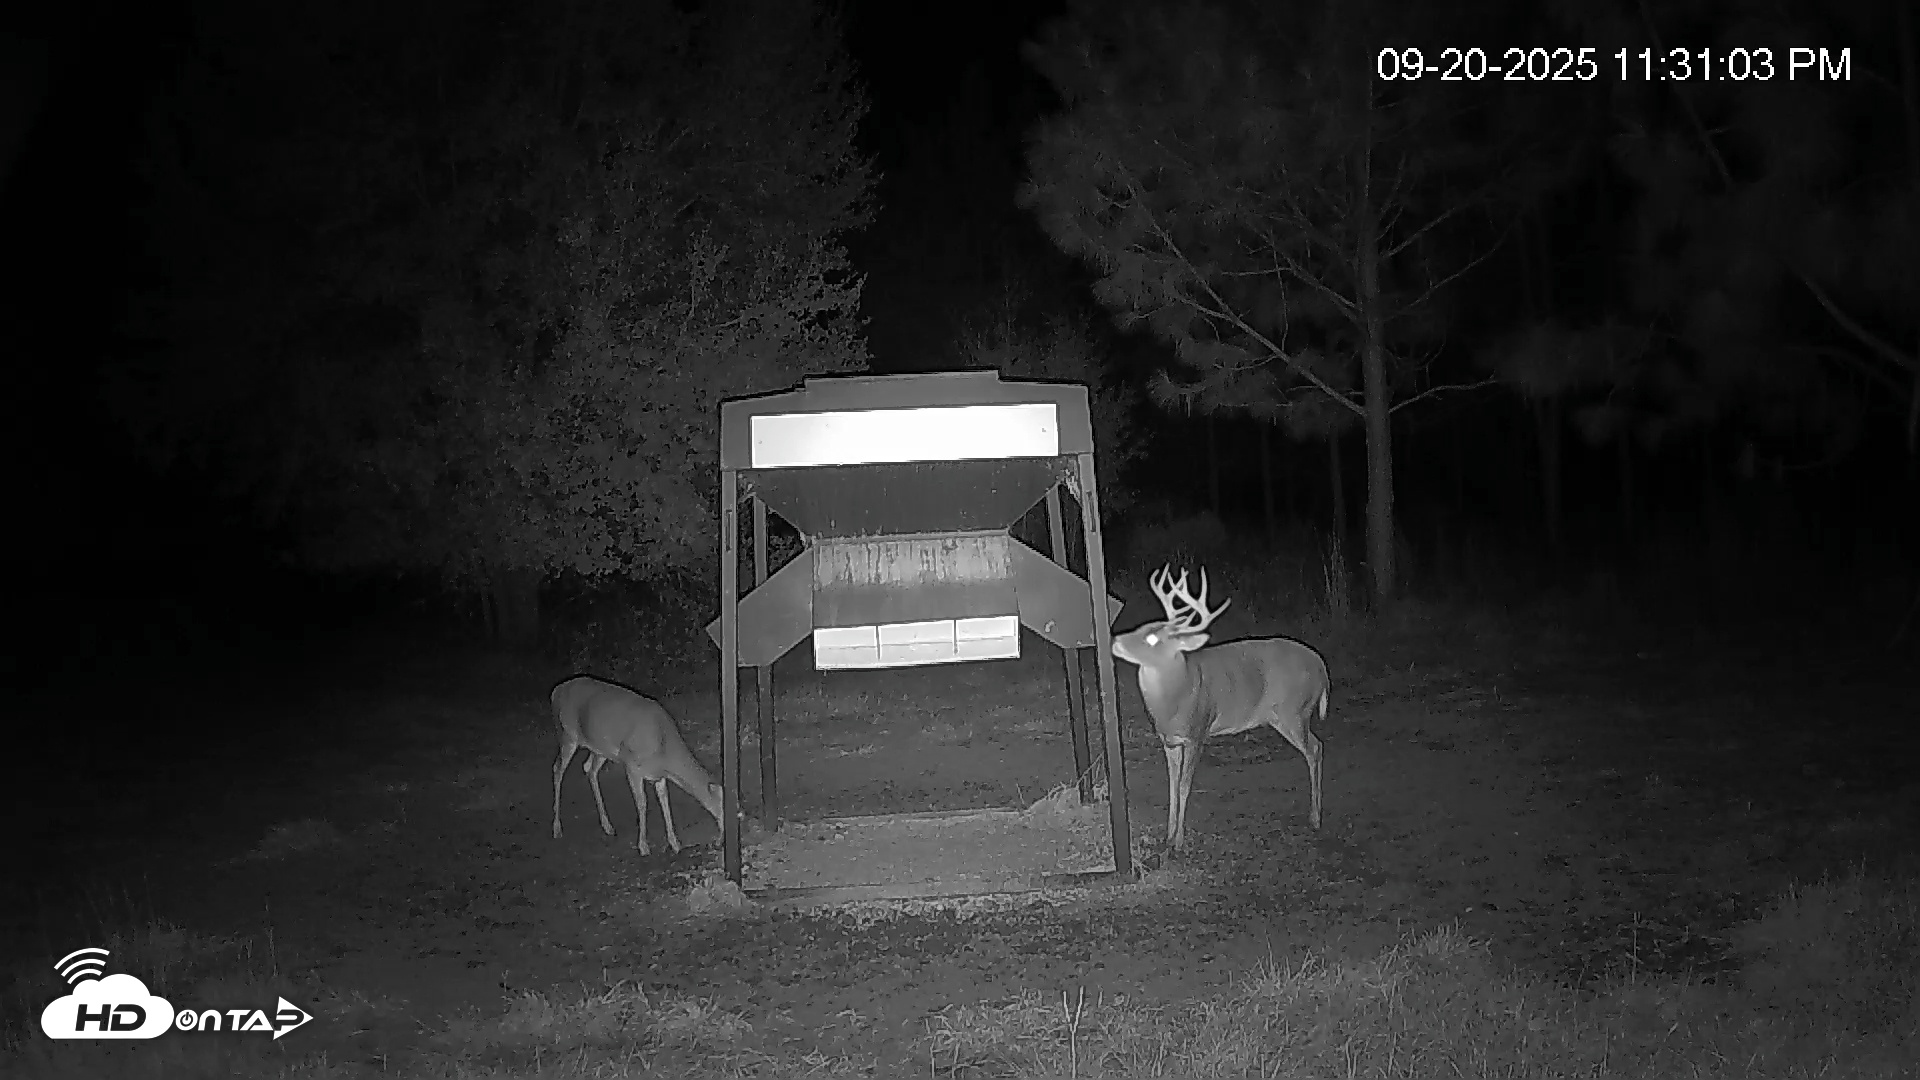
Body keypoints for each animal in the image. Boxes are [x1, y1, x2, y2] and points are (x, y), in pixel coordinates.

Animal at [549, 675, 726, 856]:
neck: (664, 751)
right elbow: (642, 803)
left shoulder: (658, 775)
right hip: (567, 734)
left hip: (601, 748)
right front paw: (643, 846)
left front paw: (675, 844)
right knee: (557, 769)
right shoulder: (631, 765)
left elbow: (664, 801)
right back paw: (557, 828)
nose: (720, 842)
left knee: (589, 769)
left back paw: (607, 826)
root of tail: (556, 691)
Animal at [1111, 565, 1326, 852]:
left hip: (1294, 711)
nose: (1115, 640)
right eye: (1143, 627)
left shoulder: (1198, 732)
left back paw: (1315, 818)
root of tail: (1321, 666)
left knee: (1315, 748)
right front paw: (1167, 836)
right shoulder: (1168, 740)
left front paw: (1179, 841)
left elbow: (1185, 786)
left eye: (1153, 638)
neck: (1175, 695)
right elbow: (1172, 785)